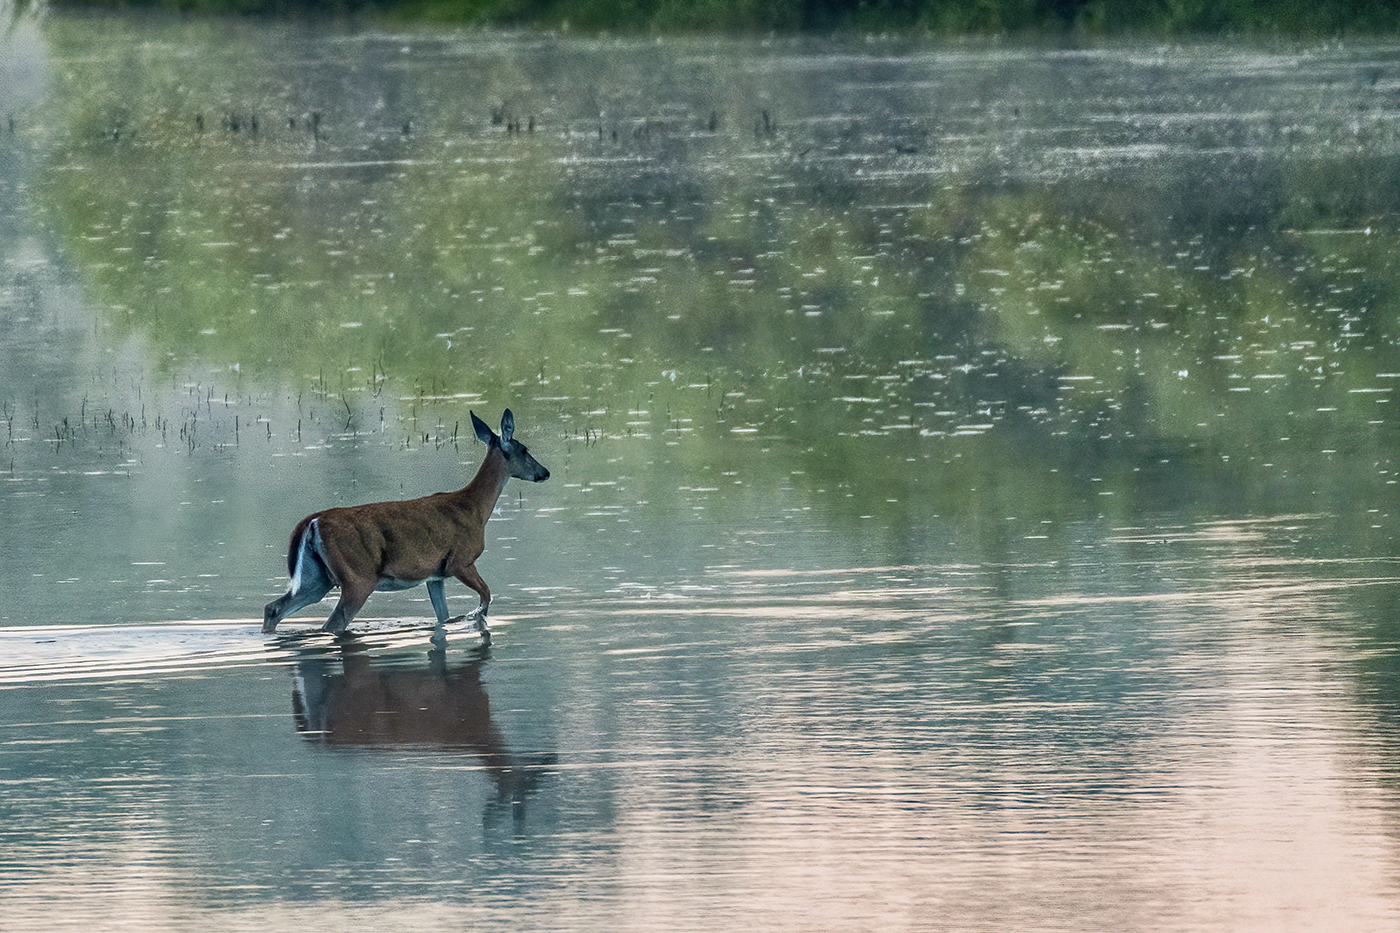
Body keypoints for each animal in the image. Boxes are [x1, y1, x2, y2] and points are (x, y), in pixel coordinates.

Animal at [262, 409, 549, 644]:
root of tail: (312, 521)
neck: (474, 508)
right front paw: (475, 621)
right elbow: (486, 597)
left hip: (317, 578)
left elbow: (443, 617)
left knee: (274, 608)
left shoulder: (435, 576)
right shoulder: (461, 560)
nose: (544, 472)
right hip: (357, 577)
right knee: (333, 623)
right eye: (525, 450)